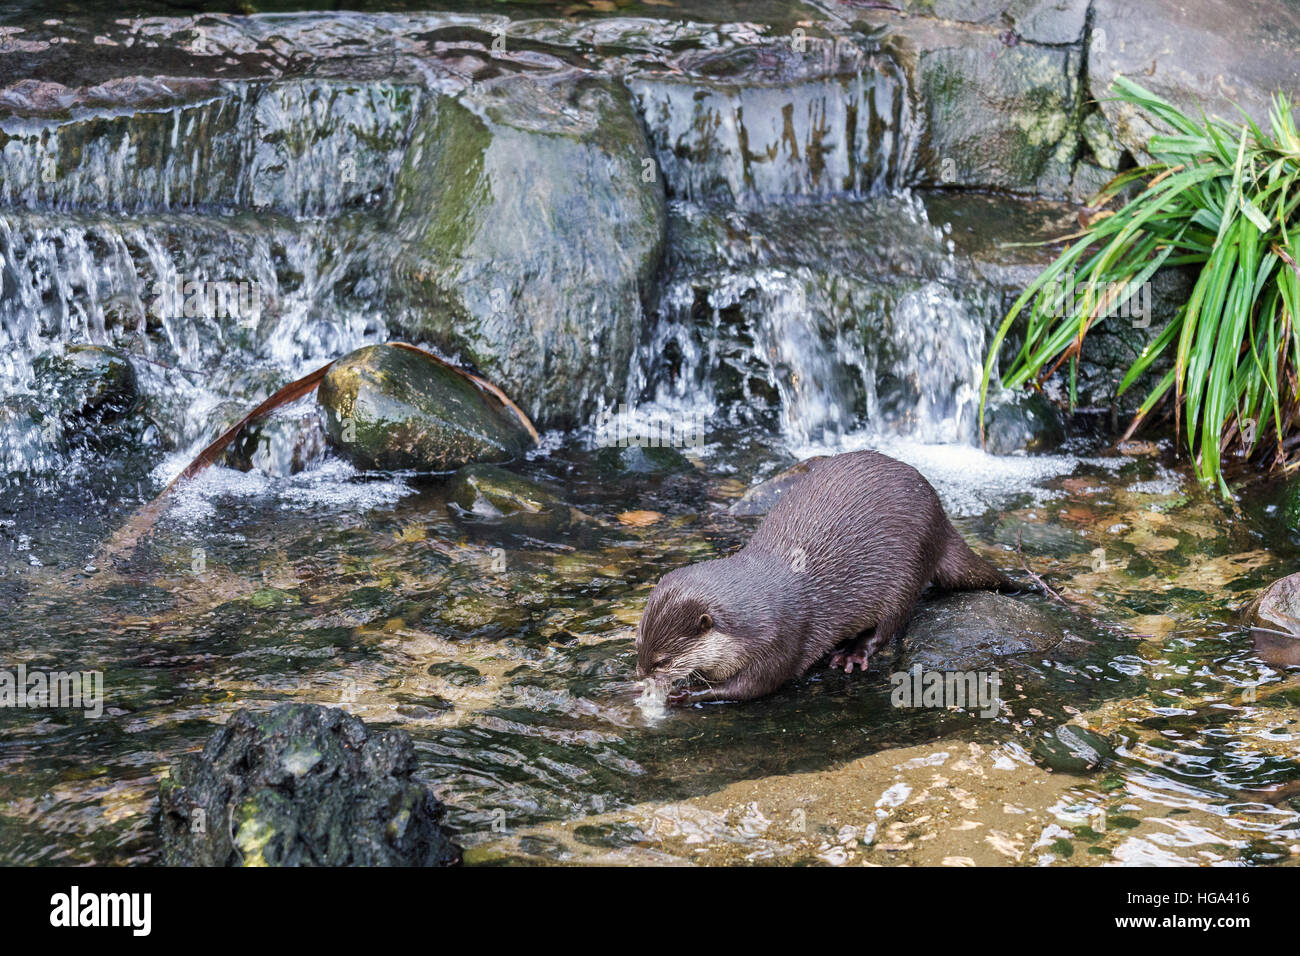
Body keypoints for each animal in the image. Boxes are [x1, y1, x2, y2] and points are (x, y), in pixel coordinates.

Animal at [634, 447, 1008, 702]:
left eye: (663, 661)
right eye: (638, 646)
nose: (641, 676)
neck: (752, 619)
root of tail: (943, 518)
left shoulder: (780, 640)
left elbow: (753, 686)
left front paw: (687, 694)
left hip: (909, 568)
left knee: (891, 624)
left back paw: (852, 654)